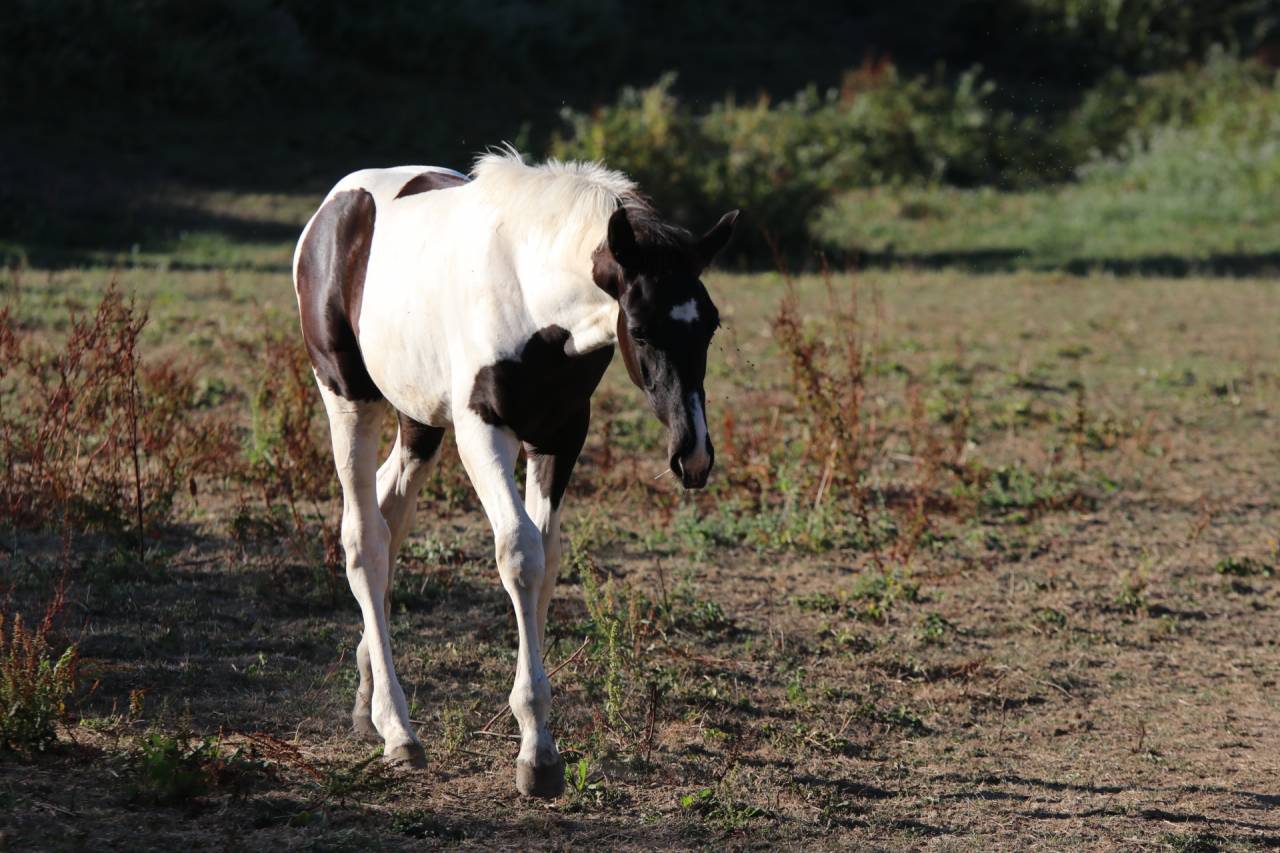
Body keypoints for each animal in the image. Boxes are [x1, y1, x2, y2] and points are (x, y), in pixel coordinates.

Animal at [292, 148, 737, 797]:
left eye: (709, 326)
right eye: (641, 328)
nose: (693, 456)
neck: (530, 298)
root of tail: (333, 207)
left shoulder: (560, 435)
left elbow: (547, 560)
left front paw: (538, 742)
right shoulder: (483, 431)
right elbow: (520, 555)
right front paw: (537, 756)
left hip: (418, 420)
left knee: (386, 515)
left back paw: (367, 698)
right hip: (349, 398)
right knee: (364, 540)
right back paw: (398, 730)